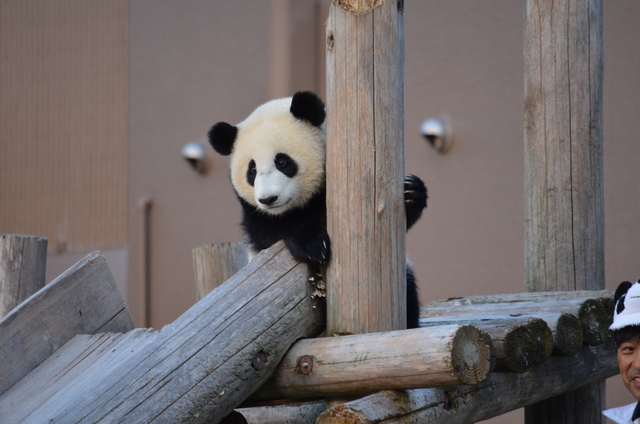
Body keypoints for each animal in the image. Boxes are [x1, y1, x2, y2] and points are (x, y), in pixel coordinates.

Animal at [208, 90, 428, 328]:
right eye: (252, 170)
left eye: (282, 162)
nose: (268, 199)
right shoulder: (255, 215)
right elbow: (269, 232)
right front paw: (313, 245)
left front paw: (412, 192)